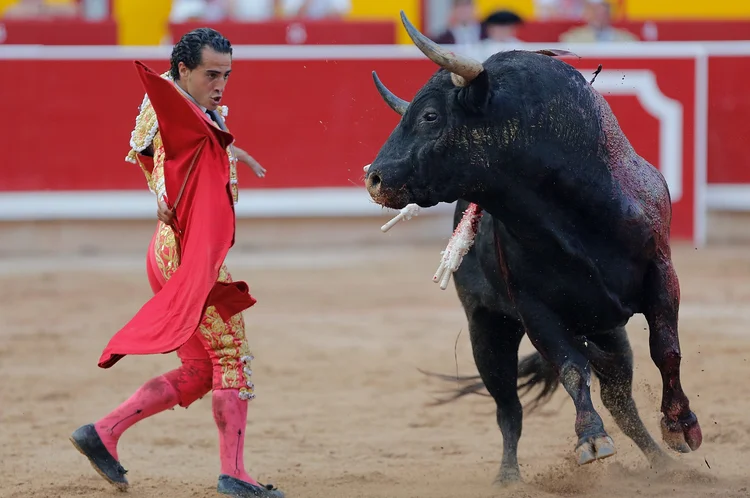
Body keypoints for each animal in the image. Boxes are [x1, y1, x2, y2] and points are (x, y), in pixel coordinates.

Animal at [364, 10, 704, 486]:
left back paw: (662, 462)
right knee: (510, 407)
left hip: (606, 330)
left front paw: (680, 427)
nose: (374, 178)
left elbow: (666, 349)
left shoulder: (661, 274)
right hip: (487, 329)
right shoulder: (534, 307)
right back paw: (508, 477)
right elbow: (571, 368)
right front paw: (590, 440)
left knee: (621, 398)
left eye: (430, 115)